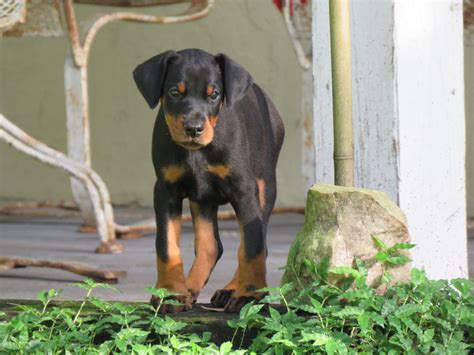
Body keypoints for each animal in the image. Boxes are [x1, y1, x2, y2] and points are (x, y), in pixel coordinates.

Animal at [131, 48, 284, 314]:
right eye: (174, 92)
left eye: (214, 94)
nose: (194, 128)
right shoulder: (165, 190)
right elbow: (167, 246)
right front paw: (171, 293)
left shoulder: (245, 189)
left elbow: (251, 246)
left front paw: (249, 295)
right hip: (202, 199)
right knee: (211, 246)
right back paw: (190, 287)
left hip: (265, 187)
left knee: (257, 241)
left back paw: (232, 289)